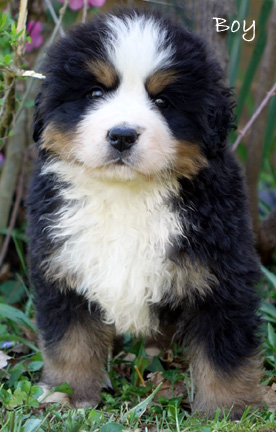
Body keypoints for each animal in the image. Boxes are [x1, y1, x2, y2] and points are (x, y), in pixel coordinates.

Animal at [27, 8, 264, 416]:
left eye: (164, 101)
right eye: (95, 93)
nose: (122, 135)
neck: (127, 194)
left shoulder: (221, 272)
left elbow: (224, 351)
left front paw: (228, 410)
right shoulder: (63, 268)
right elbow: (70, 341)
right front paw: (69, 394)